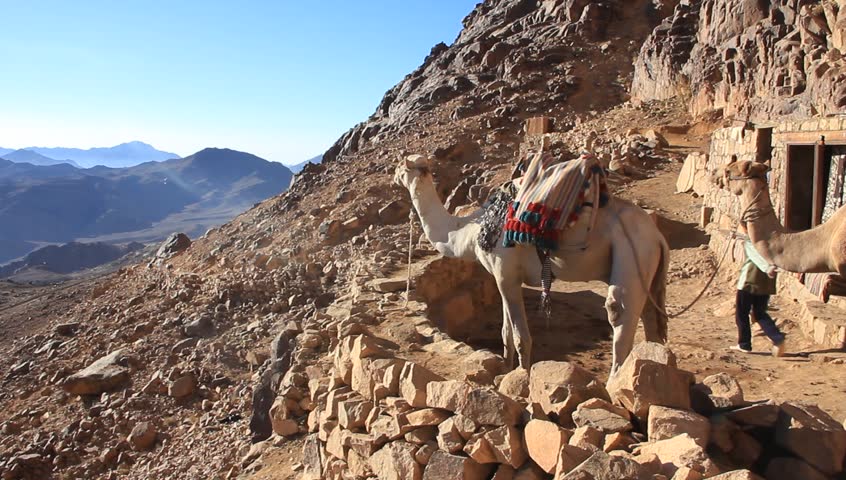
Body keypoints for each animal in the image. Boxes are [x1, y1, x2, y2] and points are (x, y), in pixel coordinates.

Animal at [394, 154, 670, 377]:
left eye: (400, 166)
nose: (395, 177)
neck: (469, 232)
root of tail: (658, 236)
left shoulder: (505, 273)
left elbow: (520, 337)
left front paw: (523, 376)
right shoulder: (504, 278)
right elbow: (505, 332)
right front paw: (506, 369)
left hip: (630, 251)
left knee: (619, 311)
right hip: (646, 266)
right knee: (650, 318)